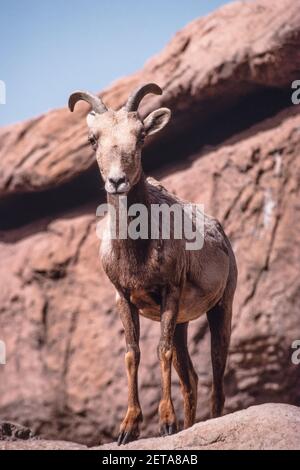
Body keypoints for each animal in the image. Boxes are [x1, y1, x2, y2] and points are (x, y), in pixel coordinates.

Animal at [68, 82, 237, 446]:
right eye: (93, 139)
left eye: (141, 136)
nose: (117, 181)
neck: (137, 252)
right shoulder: (124, 299)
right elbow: (133, 354)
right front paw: (128, 428)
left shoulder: (169, 293)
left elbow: (160, 351)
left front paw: (166, 423)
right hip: (183, 324)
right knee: (192, 379)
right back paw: (188, 427)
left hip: (221, 308)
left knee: (216, 379)